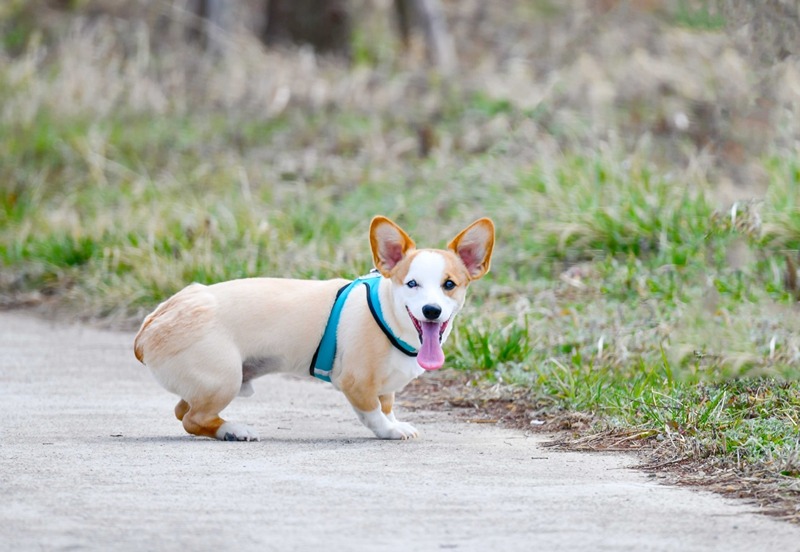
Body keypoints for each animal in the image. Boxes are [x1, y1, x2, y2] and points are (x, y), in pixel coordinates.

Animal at [134, 216, 490, 440]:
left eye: (449, 285)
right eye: (412, 284)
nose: (432, 311)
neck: (389, 315)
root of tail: (153, 322)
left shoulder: (385, 386)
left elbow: (387, 406)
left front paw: (395, 422)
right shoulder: (356, 384)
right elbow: (374, 412)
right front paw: (389, 431)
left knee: (182, 411)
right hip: (224, 380)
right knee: (192, 419)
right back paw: (235, 430)